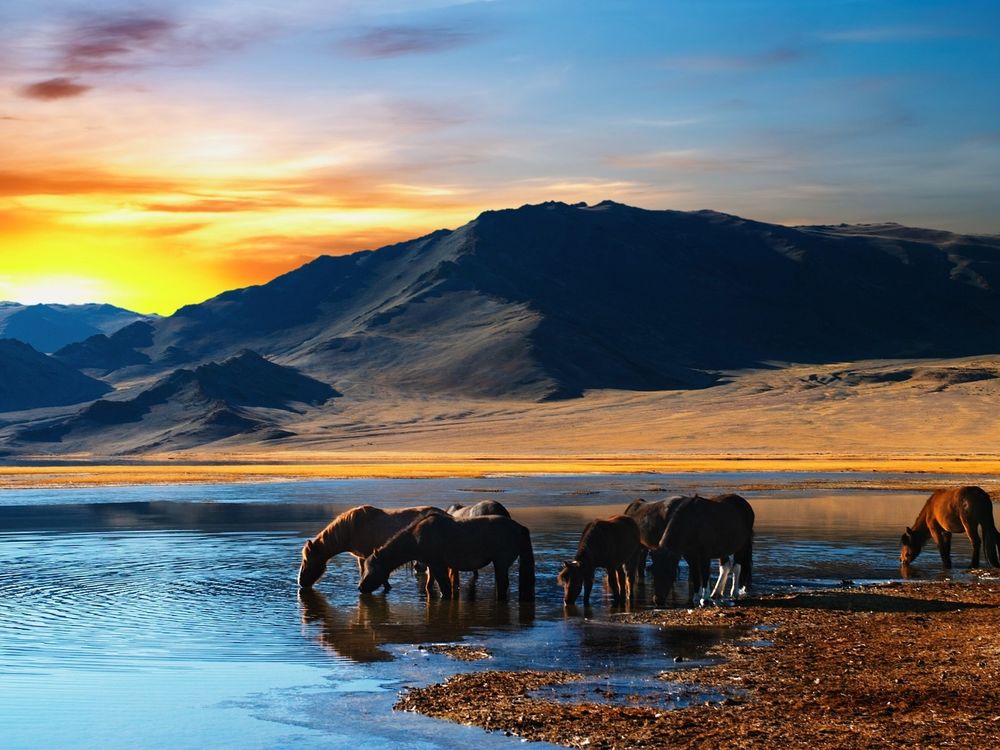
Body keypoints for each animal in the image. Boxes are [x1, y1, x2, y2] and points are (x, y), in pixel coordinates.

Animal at [298, 505, 443, 590]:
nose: (301, 582)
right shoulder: (362, 557)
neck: (352, 528)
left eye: (306, 560)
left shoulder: (369, 555)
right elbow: (364, 572)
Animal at [359, 514, 535, 602]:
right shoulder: (431, 565)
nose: (360, 587)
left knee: (503, 585)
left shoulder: (438, 565)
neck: (417, 537)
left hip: (501, 564)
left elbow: (445, 588)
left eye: (372, 569)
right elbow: (429, 585)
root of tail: (519, 528)